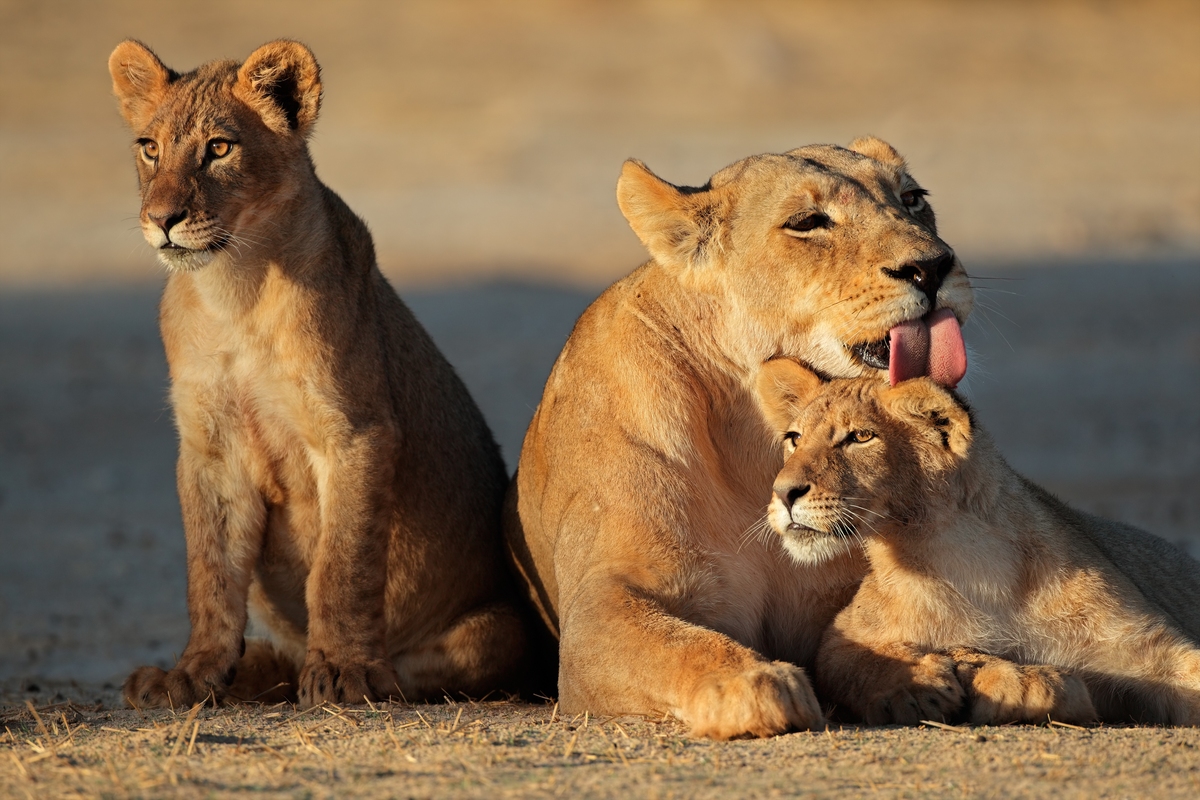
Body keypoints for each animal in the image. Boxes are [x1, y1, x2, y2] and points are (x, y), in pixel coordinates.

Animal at [109, 39, 532, 708]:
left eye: (219, 148)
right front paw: (191, 674)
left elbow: (342, 564)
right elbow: (210, 574)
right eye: (149, 147)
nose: (163, 218)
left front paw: (342, 670)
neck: (234, 292)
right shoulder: (210, 447)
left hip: (503, 628)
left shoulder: (355, 432)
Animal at [503, 139, 975, 738]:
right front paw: (754, 683)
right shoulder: (599, 609)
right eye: (808, 222)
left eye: (912, 198)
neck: (757, 440)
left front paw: (914, 677)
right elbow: (677, 644)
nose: (933, 267)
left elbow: (862, 632)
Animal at [756, 358, 1200, 726]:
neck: (972, 563)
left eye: (861, 437)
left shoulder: (1150, 649)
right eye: (795, 438)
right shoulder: (844, 633)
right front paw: (917, 687)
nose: (783, 492)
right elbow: (858, 660)